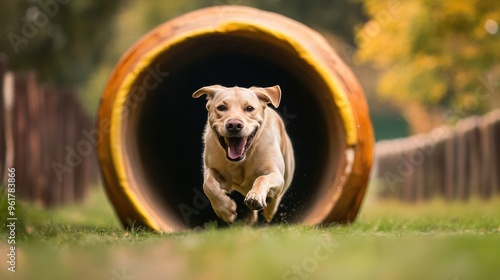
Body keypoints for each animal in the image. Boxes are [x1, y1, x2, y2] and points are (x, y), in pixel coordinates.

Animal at [190, 85, 292, 225]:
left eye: (249, 108)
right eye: (221, 107)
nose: (234, 125)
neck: (242, 159)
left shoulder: (276, 174)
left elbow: (262, 178)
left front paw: (255, 197)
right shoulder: (218, 173)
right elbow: (208, 184)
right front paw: (226, 210)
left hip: (286, 171)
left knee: (277, 196)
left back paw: (269, 210)